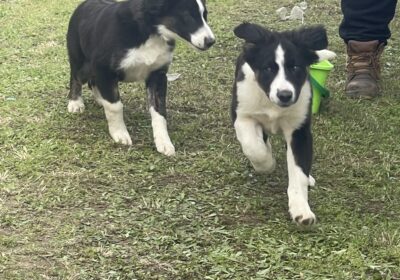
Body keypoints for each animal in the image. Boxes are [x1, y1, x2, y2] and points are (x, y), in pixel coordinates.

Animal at [66, 0, 216, 155]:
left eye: (205, 15)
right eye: (187, 15)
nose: (211, 41)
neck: (150, 31)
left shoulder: (158, 75)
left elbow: (159, 111)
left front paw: (163, 142)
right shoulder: (104, 69)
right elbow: (115, 107)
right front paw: (119, 134)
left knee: (93, 82)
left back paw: (100, 98)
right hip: (82, 64)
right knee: (76, 78)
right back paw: (75, 102)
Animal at [230, 23, 336, 226]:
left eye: (295, 67)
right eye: (268, 68)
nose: (285, 95)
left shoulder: (299, 131)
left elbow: (298, 172)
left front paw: (301, 209)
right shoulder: (242, 116)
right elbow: (254, 148)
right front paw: (266, 164)